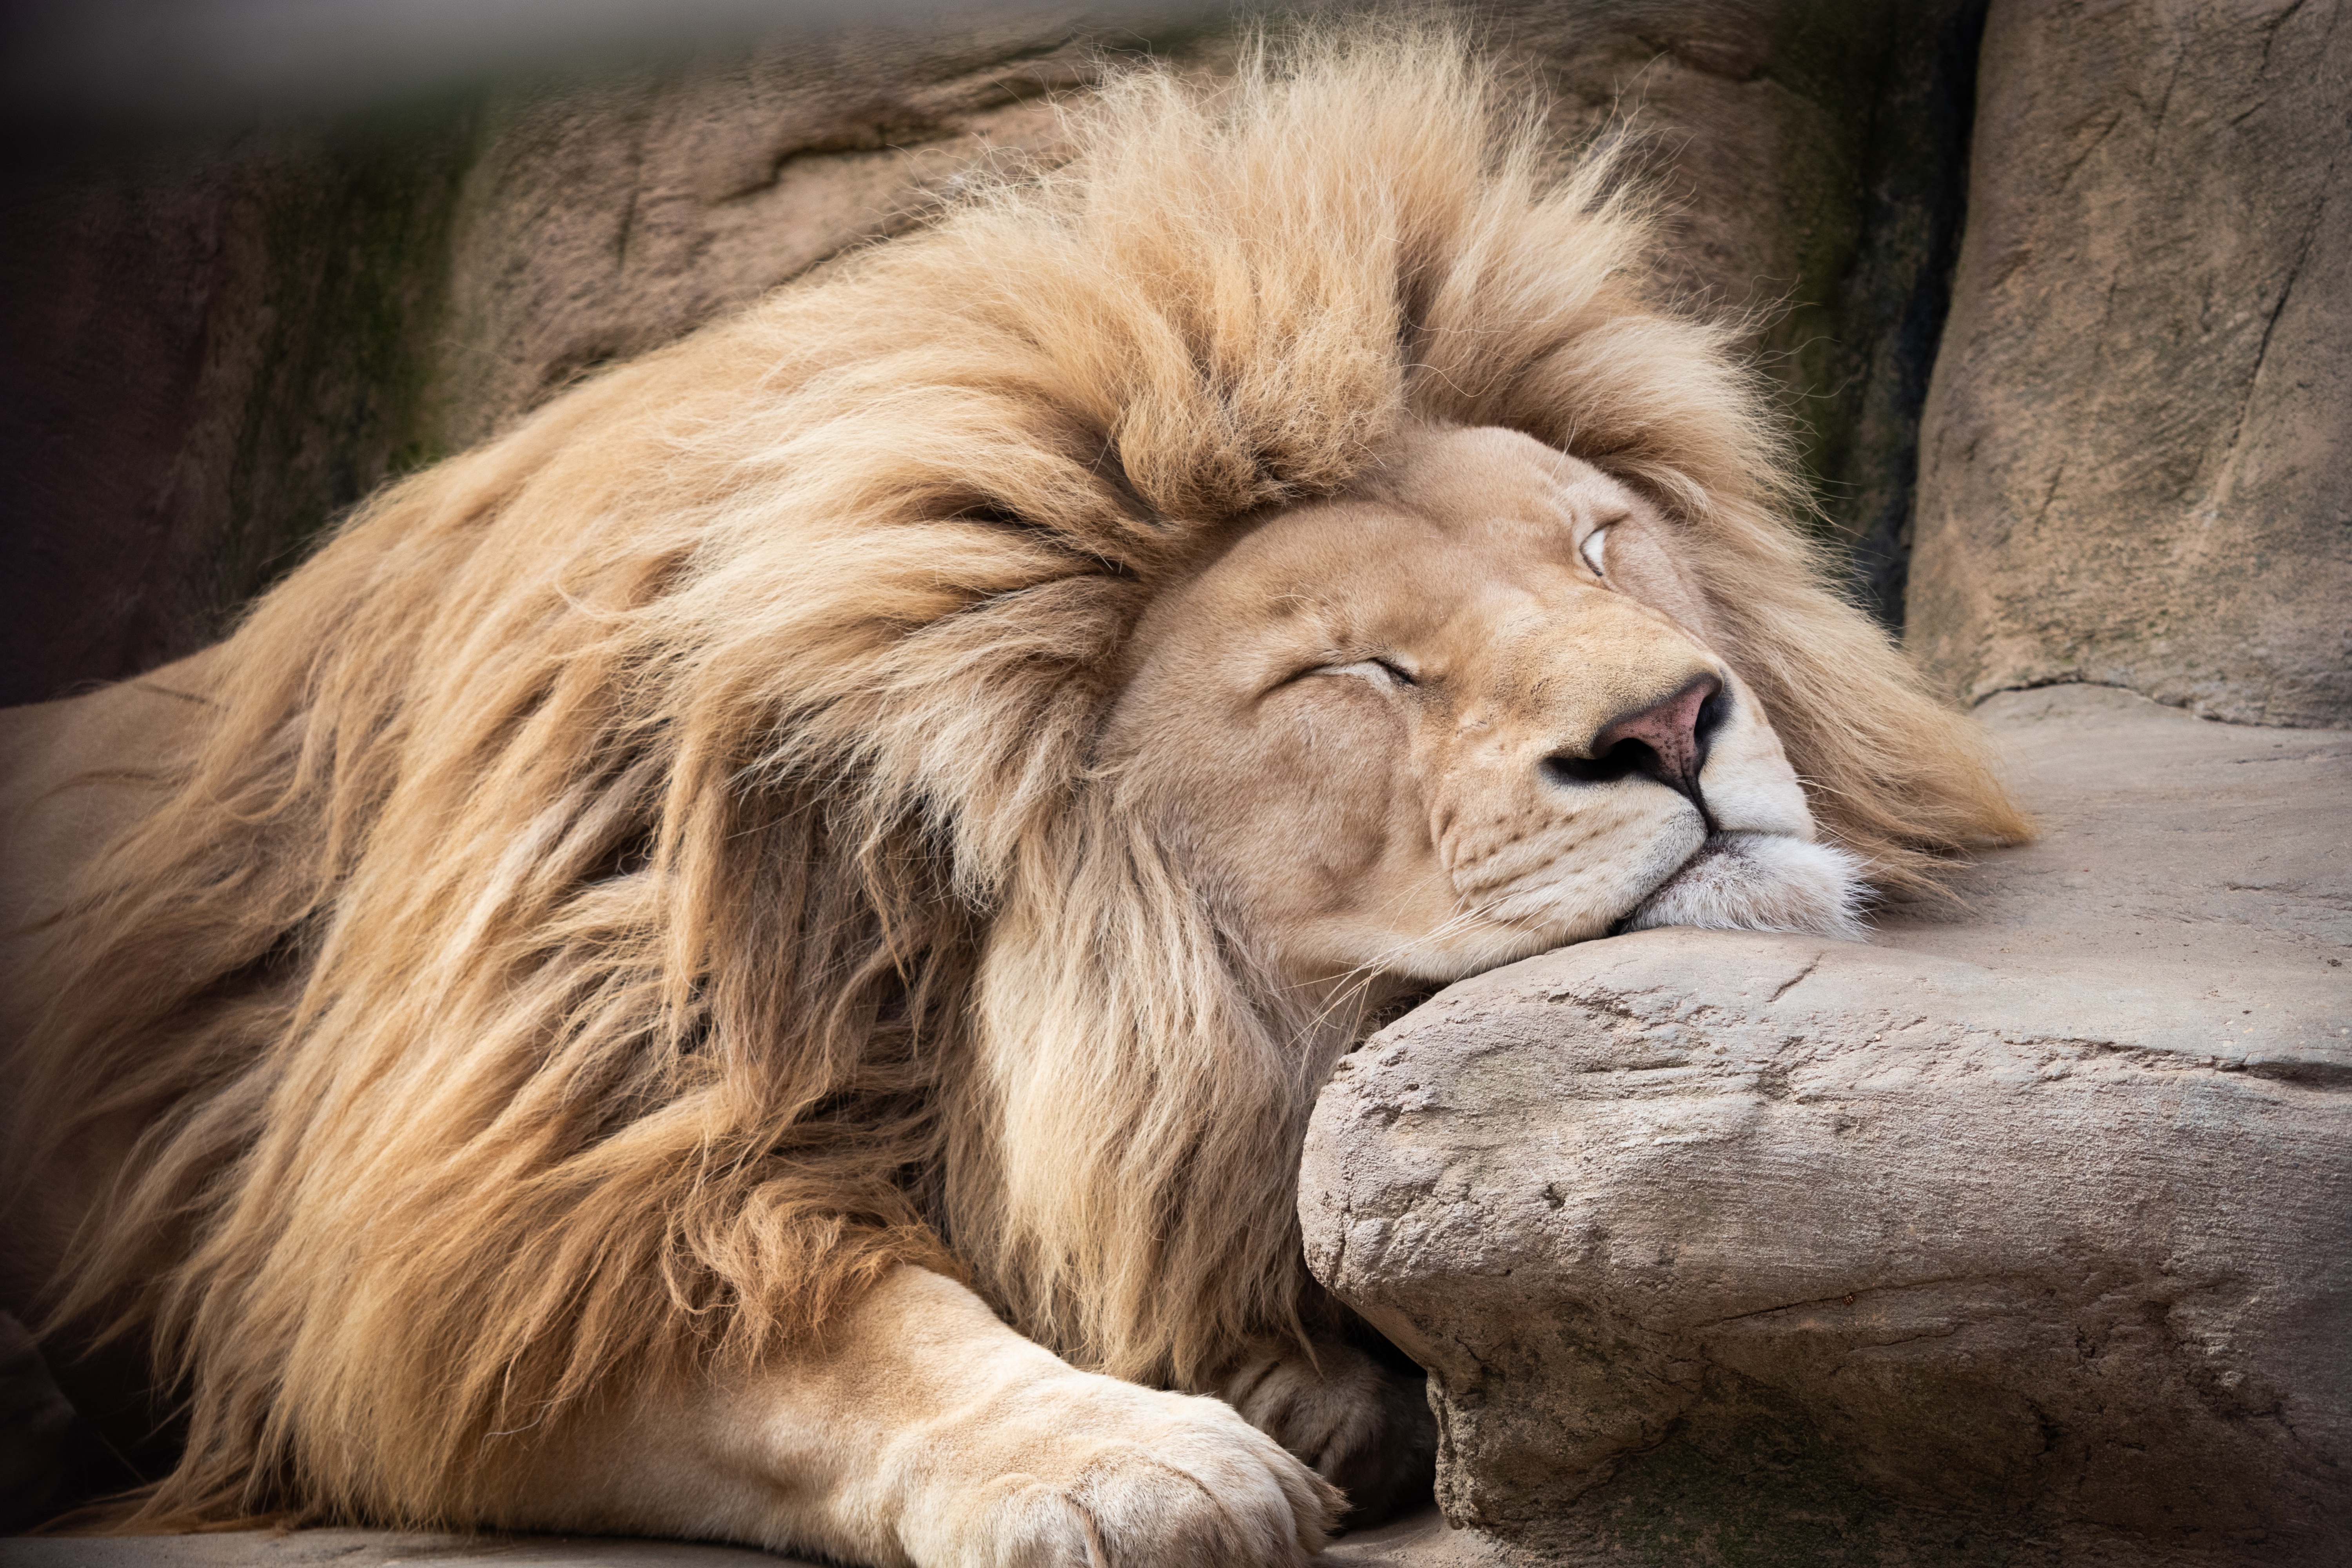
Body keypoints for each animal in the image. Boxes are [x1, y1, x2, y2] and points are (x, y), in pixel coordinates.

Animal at [0, 29, 2027, 1567]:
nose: (1674, 724)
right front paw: (1135, 1455)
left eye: (1603, 542)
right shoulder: (475, 1232)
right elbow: (850, 1335)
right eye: (1354, 670)